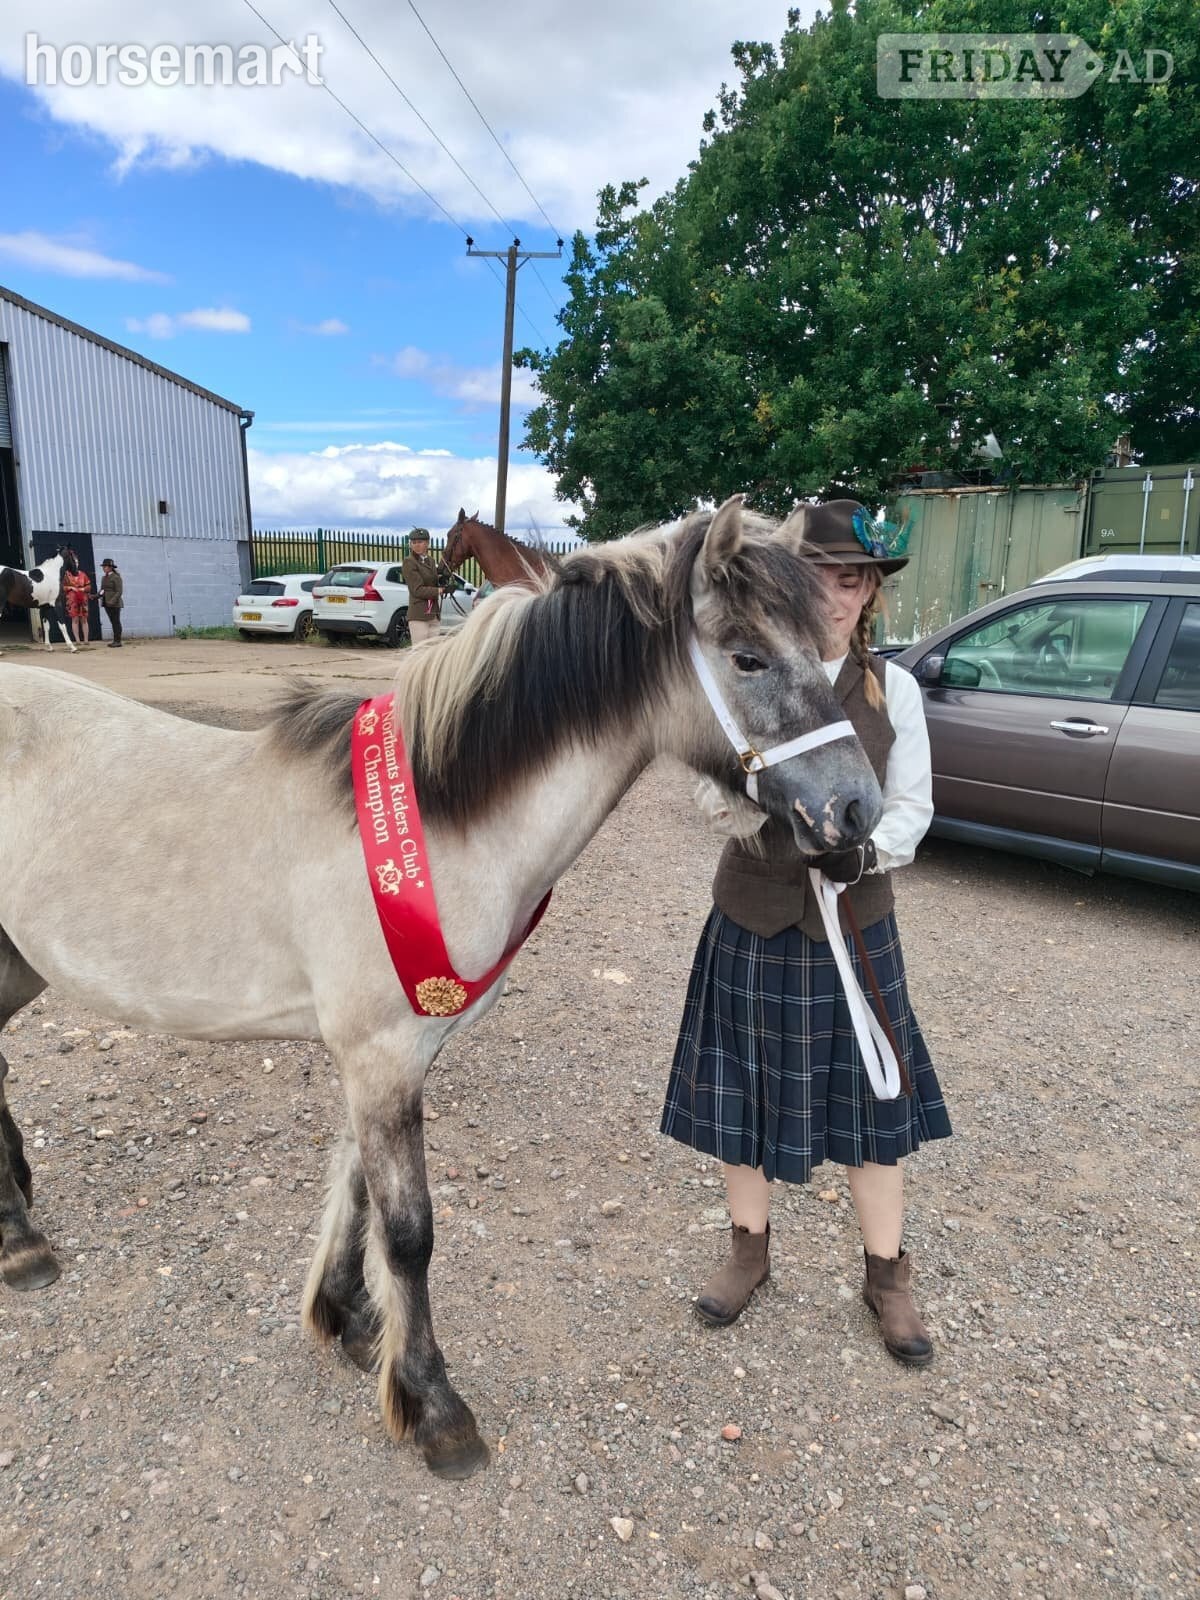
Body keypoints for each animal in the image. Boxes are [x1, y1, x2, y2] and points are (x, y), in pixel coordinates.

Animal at [0, 498, 881, 1479]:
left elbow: (357, 1191)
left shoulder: (388, 1060)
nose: (857, 810)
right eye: (748, 656)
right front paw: (433, 1406)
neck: (438, 815)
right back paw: (24, 1246)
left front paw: (348, 1323)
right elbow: (410, 1230)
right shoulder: (379, 1058)